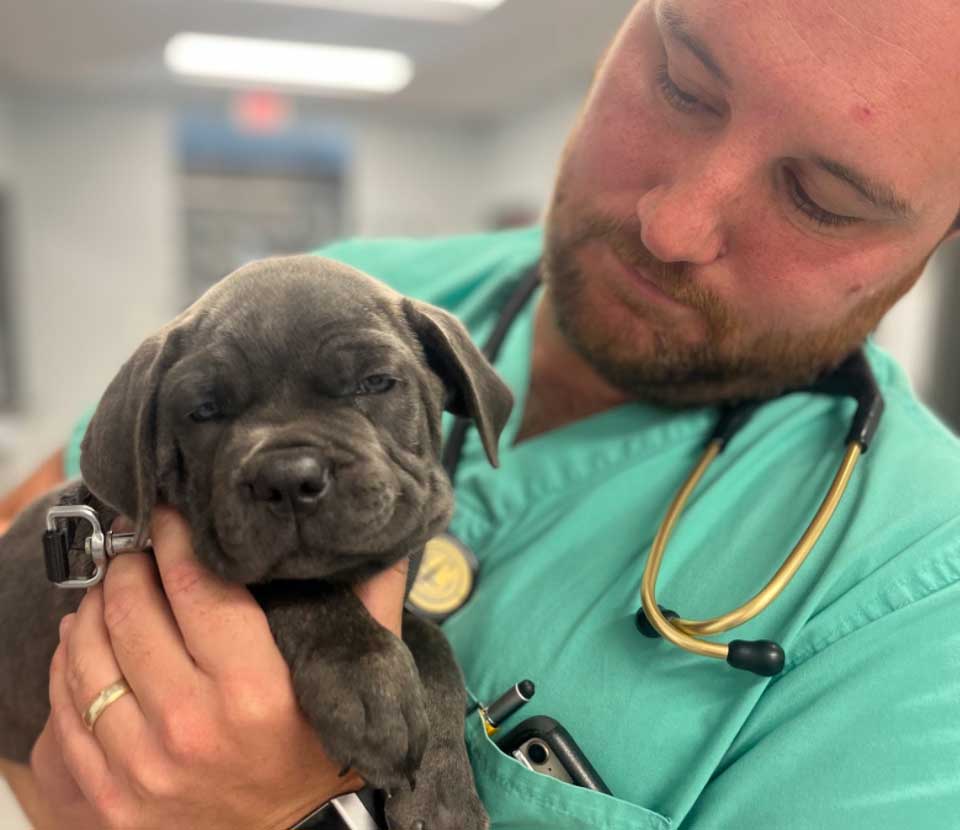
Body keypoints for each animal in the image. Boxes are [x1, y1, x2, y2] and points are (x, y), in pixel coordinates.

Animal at [0, 255, 513, 830]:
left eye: (376, 382)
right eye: (203, 411)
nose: (288, 477)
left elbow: (435, 646)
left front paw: (444, 791)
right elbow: (293, 587)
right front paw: (366, 679)